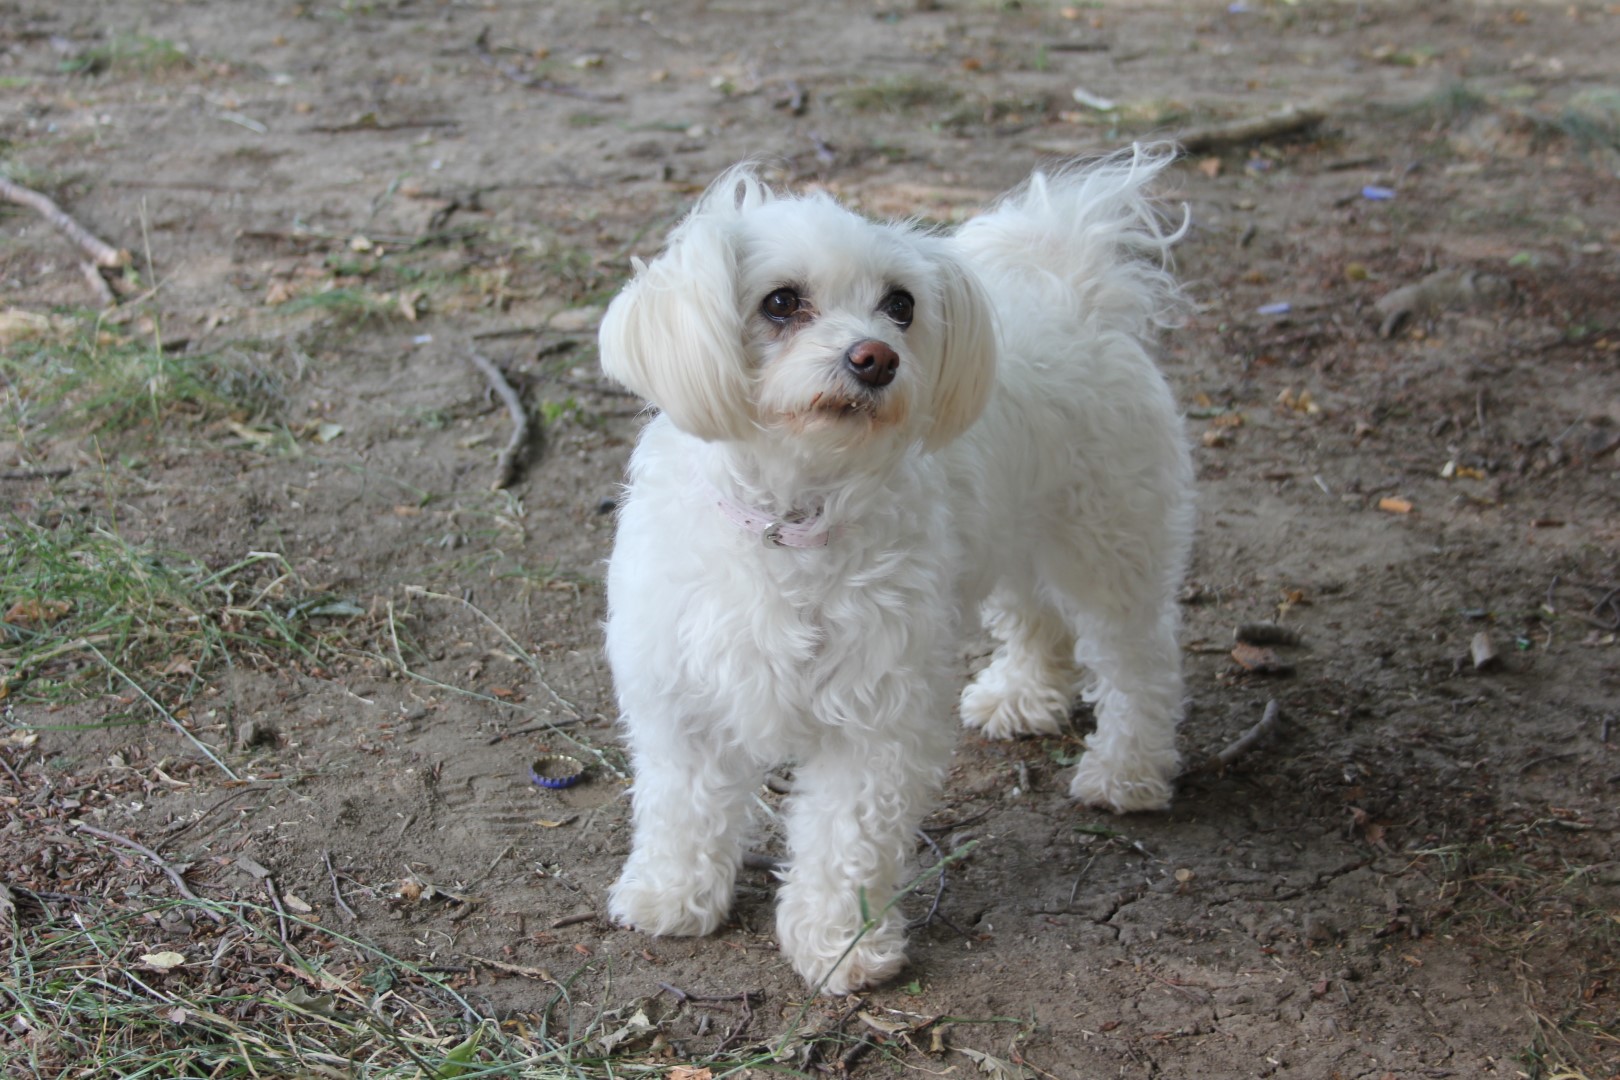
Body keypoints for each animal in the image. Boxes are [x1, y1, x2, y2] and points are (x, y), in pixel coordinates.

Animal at [596, 145, 1192, 997]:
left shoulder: (873, 715)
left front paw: (840, 944)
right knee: (1038, 619)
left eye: (901, 306)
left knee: (1139, 663)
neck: (791, 516)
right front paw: (672, 896)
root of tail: (1074, 282)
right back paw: (1022, 696)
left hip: (1109, 548)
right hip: (1012, 535)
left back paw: (1127, 771)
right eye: (781, 301)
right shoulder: (681, 698)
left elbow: (845, 839)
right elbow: (683, 808)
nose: (874, 358)